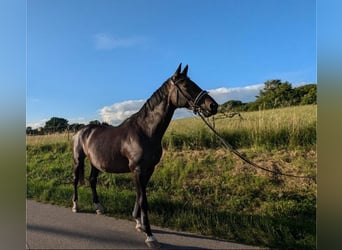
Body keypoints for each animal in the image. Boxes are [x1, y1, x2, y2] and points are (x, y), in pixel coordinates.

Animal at [71, 63, 219, 247]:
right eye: (186, 85)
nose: (213, 106)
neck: (145, 131)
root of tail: (81, 130)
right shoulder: (138, 170)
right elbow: (143, 200)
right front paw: (150, 235)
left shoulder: (149, 169)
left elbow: (139, 196)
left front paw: (139, 223)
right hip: (78, 160)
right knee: (75, 180)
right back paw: (76, 206)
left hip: (95, 163)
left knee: (92, 181)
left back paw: (98, 207)